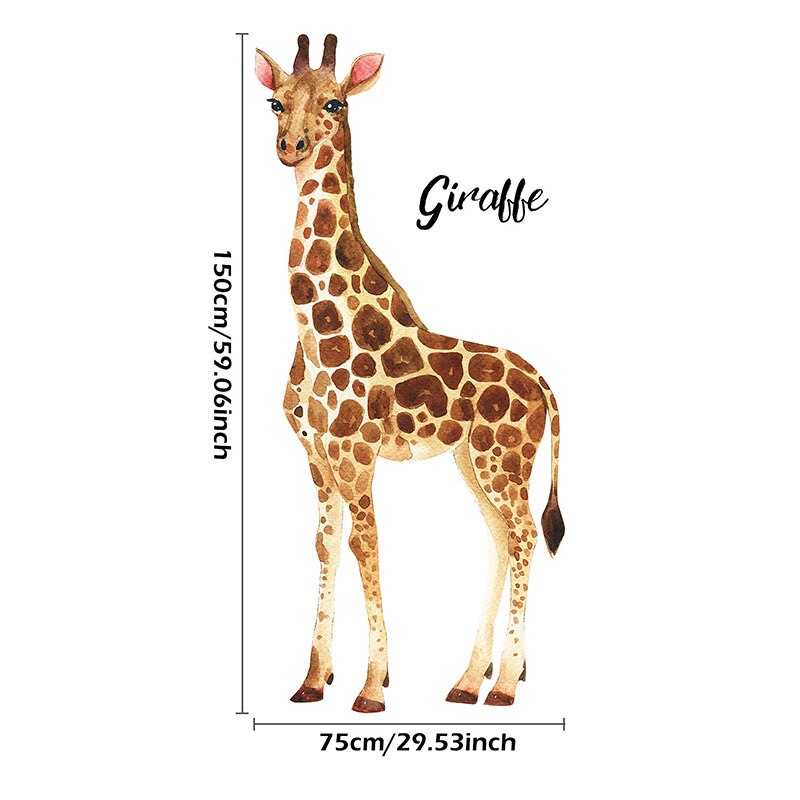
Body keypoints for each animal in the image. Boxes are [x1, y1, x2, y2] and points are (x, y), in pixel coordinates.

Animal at [255, 34, 564, 713]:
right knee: (501, 535)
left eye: (336, 102)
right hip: (473, 461)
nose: (291, 146)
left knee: (527, 534)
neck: (313, 328)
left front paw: (373, 688)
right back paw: (468, 680)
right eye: (274, 102)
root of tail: (546, 387)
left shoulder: (355, 452)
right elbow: (326, 545)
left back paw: (504, 684)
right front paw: (312, 680)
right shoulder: (316, 454)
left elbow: (365, 545)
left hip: (504, 461)